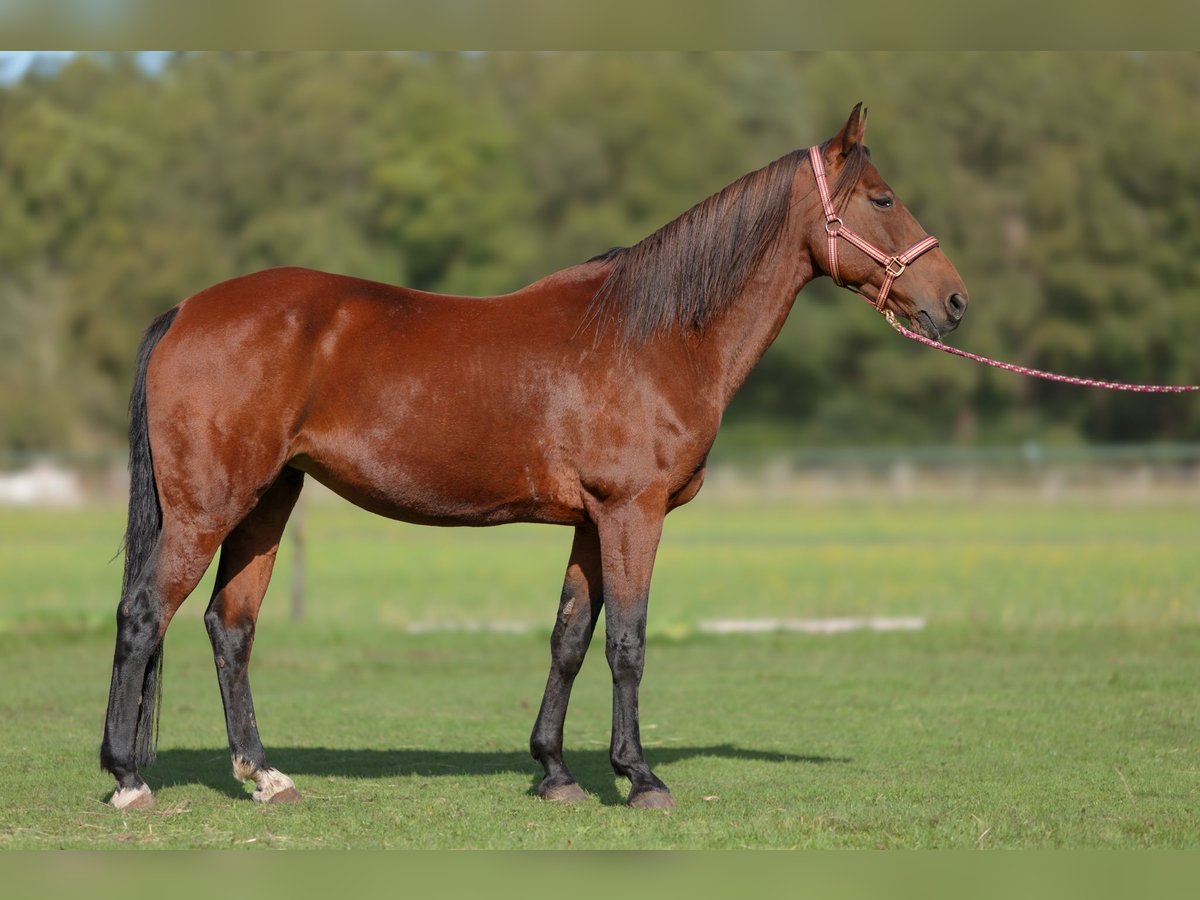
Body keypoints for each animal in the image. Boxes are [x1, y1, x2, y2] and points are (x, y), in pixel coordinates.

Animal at [101, 104, 968, 811]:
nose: (954, 300)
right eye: (882, 198)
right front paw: (640, 778)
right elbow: (628, 643)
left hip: (267, 503)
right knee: (144, 614)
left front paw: (555, 772)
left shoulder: (591, 522)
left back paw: (264, 775)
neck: (653, 333)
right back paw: (129, 778)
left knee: (229, 626)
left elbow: (570, 638)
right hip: (209, 508)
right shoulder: (632, 513)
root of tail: (186, 311)